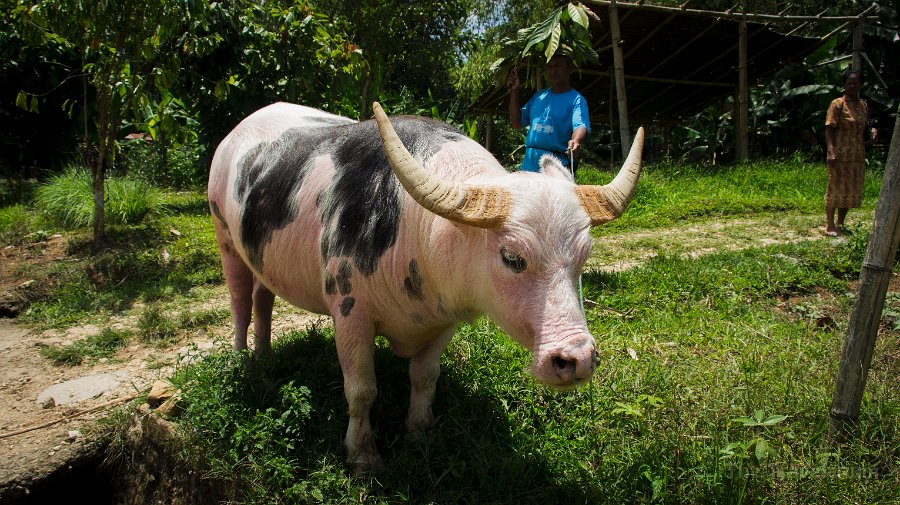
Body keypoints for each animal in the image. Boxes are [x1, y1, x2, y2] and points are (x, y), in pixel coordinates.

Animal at [207, 102, 644, 472]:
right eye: (511, 257)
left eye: (584, 255)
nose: (577, 359)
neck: (413, 229)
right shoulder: (349, 313)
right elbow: (361, 389)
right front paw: (363, 455)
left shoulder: (443, 321)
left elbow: (424, 376)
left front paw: (419, 433)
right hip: (225, 238)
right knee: (241, 302)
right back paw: (245, 362)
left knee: (263, 298)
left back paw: (264, 356)